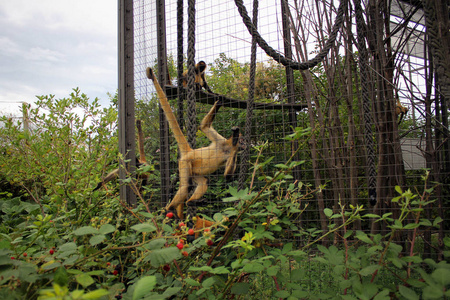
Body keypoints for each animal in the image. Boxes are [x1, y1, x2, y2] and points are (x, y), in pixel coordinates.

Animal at [147, 67, 239, 219]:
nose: (244, 144)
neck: (226, 148)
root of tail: (190, 151)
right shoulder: (221, 141)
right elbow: (204, 127)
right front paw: (236, 138)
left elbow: (228, 177)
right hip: (185, 163)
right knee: (186, 186)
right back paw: (170, 208)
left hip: (194, 171)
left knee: (203, 181)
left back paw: (190, 202)